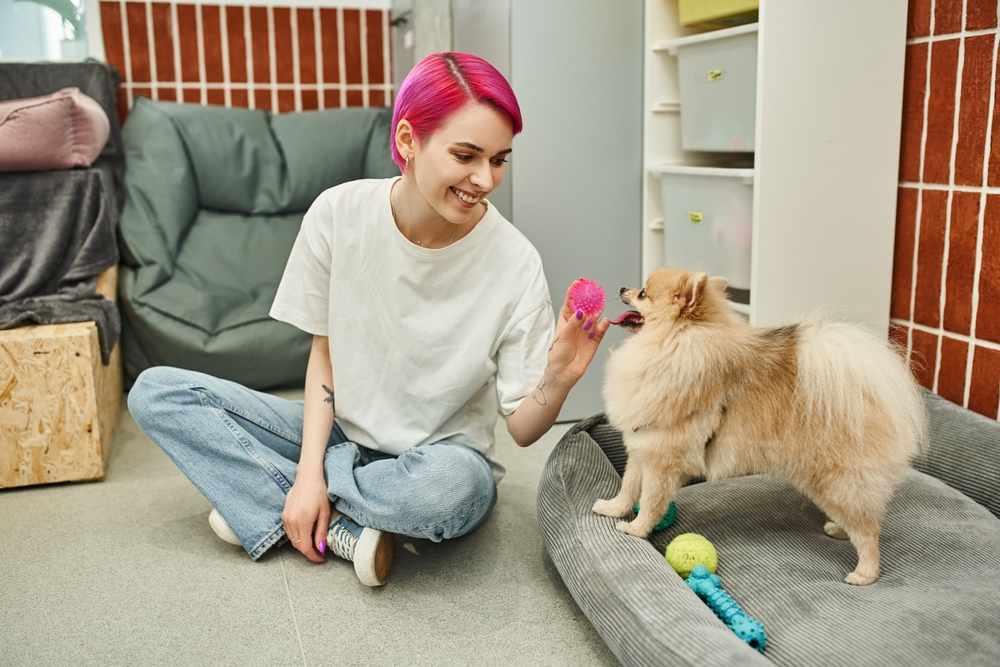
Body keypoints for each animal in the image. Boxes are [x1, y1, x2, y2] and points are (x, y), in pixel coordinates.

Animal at [592, 266, 928, 584]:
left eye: (643, 294)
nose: (622, 288)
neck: (669, 346)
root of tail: (871, 393)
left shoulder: (663, 462)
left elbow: (650, 501)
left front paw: (636, 529)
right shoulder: (642, 447)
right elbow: (628, 486)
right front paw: (613, 509)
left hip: (836, 480)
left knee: (869, 530)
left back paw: (865, 573)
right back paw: (840, 530)